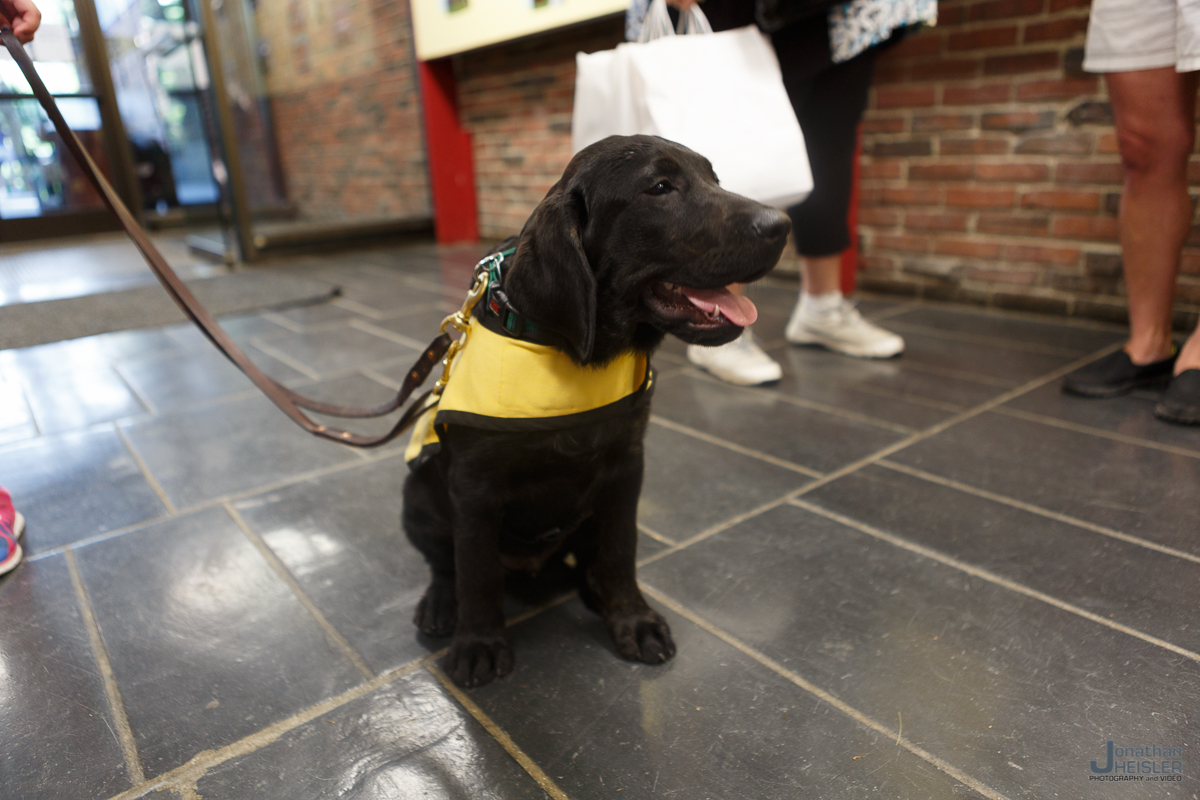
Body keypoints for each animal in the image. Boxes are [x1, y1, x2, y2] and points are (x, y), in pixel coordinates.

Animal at [408, 134, 792, 686]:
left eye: (714, 179)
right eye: (660, 187)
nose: (783, 224)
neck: (574, 352)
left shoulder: (625, 467)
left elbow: (619, 552)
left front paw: (632, 619)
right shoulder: (474, 487)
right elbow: (475, 569)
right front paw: (478, 641)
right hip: (418, 493)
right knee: (445, 562)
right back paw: (441, 604)